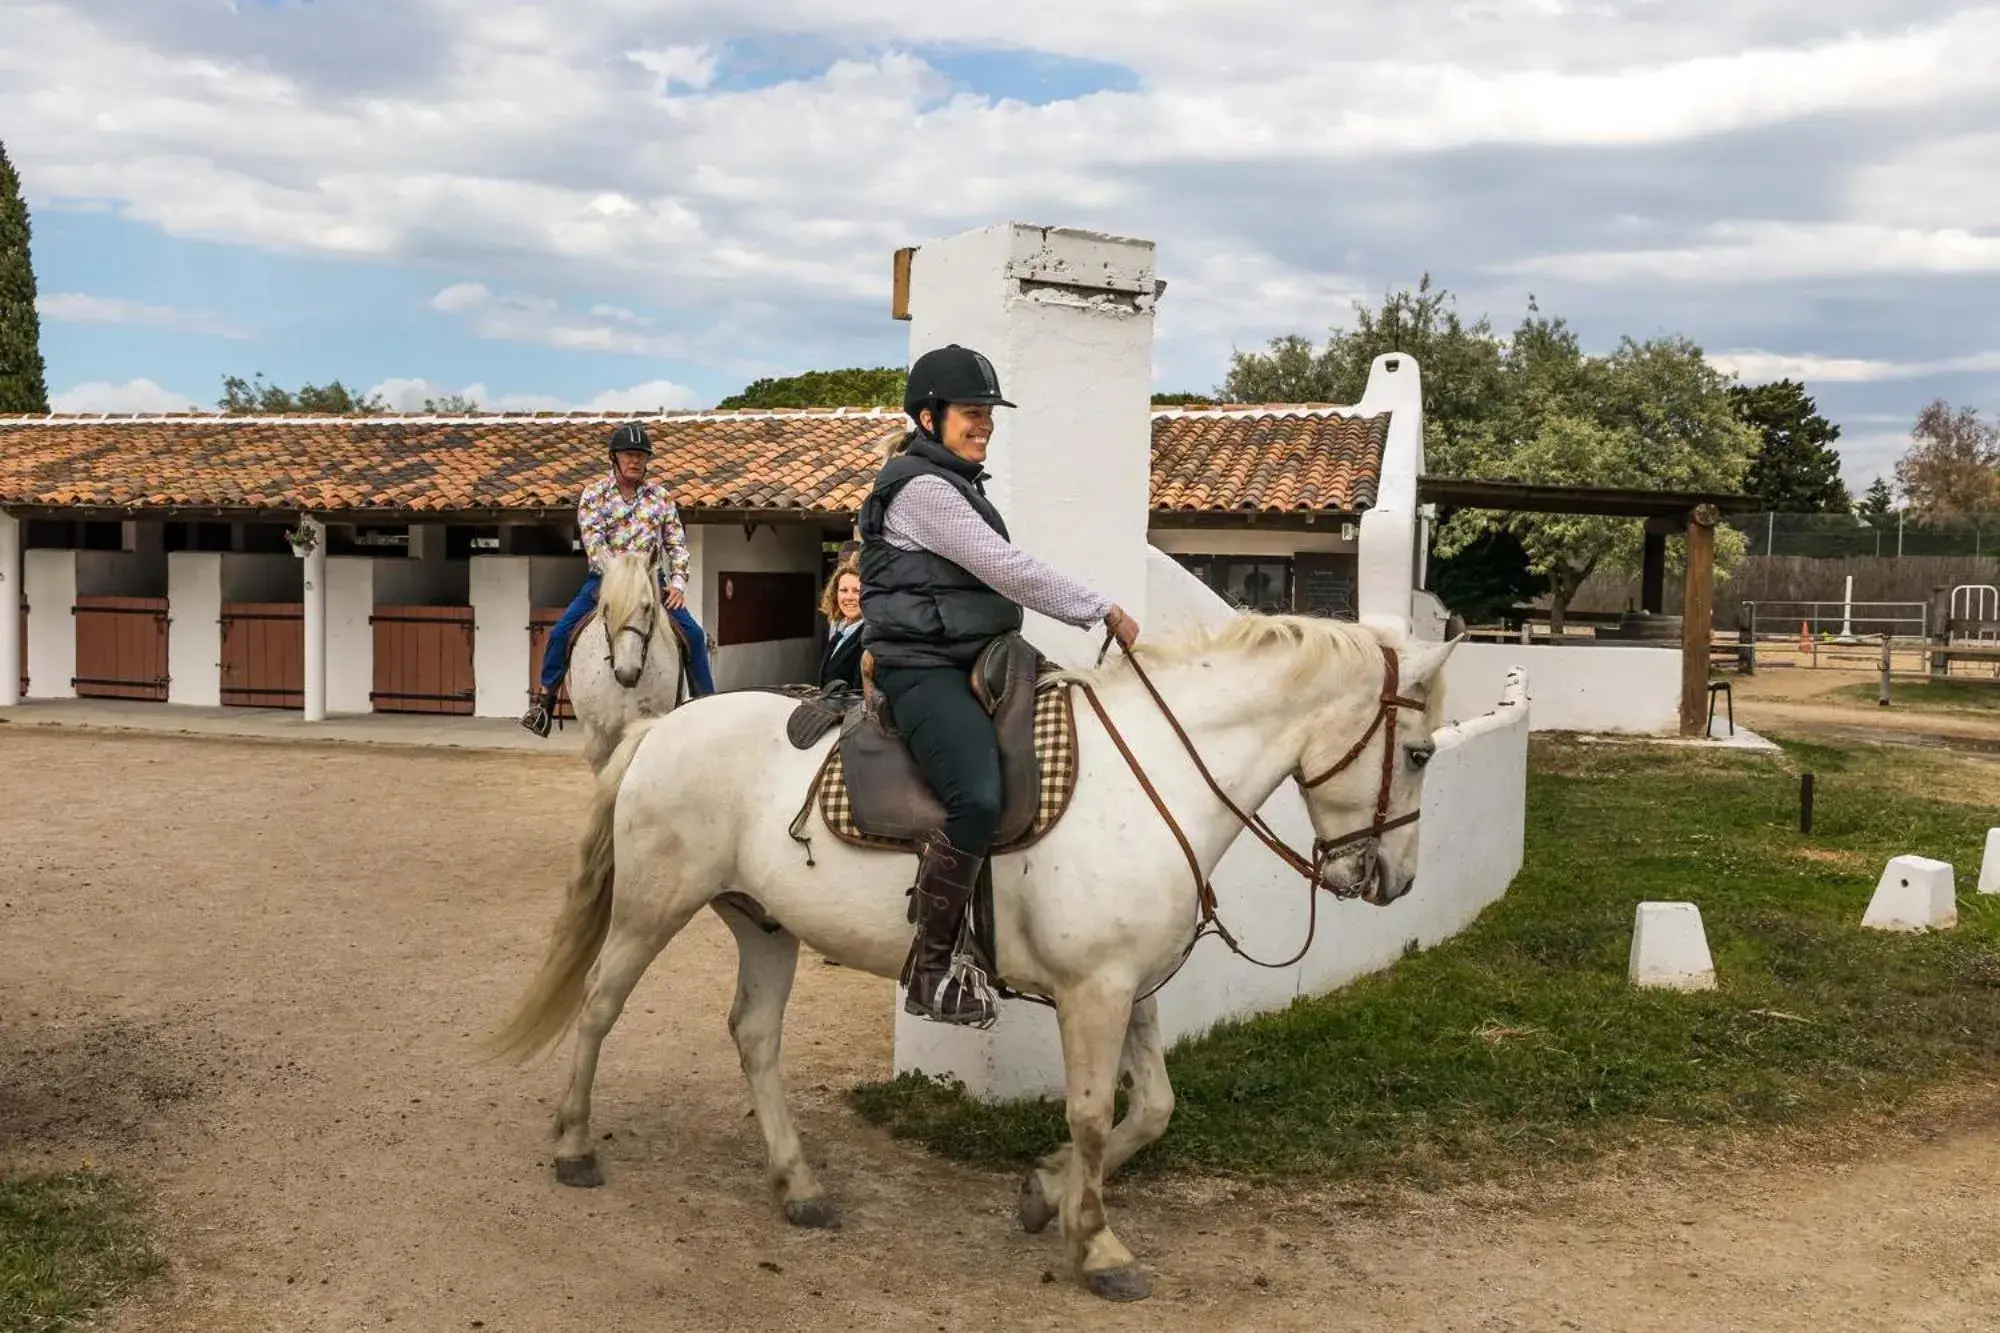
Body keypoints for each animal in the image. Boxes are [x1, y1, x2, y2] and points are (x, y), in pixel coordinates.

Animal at [484, 612, 1456, 1296]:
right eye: (1416, 753)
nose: (1395, 879)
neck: (1156, 779)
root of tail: (664, 727)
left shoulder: (1131, 986)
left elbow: (1152, 1109)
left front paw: (1045, 1192)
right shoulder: (1094, 990)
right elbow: (1094, 1115)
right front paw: (1097, 1243)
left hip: (764, 924)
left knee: (754, 1035)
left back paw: (798, 1185)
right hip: (652, 907)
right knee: (600, 1004)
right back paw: (574, 1145)